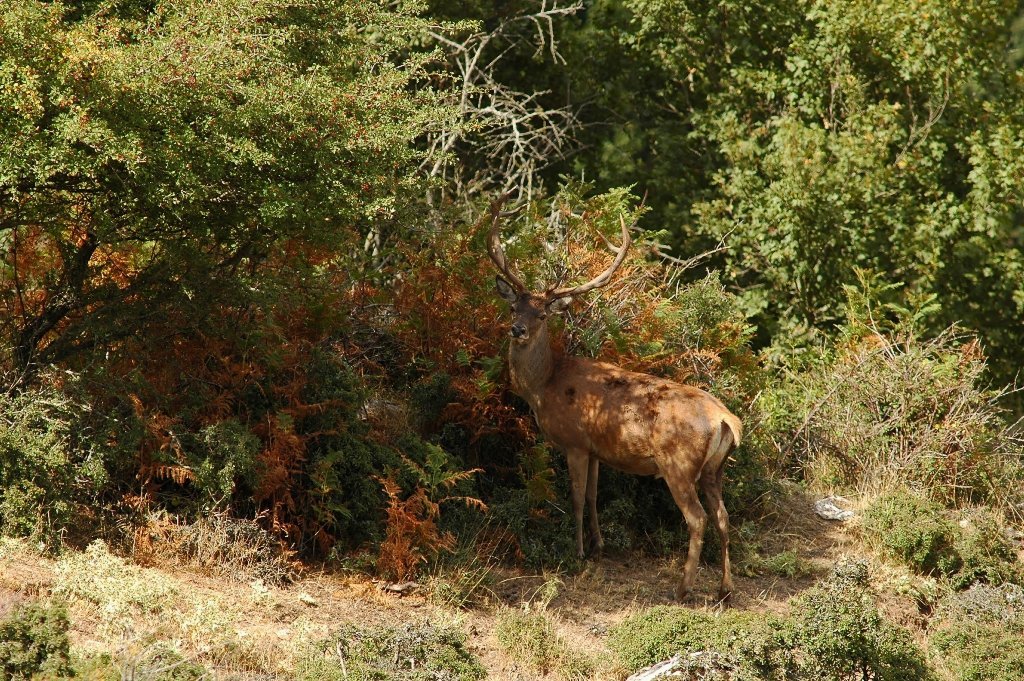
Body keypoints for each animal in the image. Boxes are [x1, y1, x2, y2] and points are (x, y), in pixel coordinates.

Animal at [487, 196, 742, 603]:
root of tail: (724, 419)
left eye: (541, 314)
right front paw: (598, 546)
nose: (518, 329)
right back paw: (724, 588)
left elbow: (576, 497)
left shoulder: (575, 441)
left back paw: (682, 588)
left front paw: (576, 552)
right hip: (715, 468)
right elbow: (593, 497)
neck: (544, 386)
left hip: (678, 462)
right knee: (723, 517)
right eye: (514, 308)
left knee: (698, 517)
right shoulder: (596, 449)